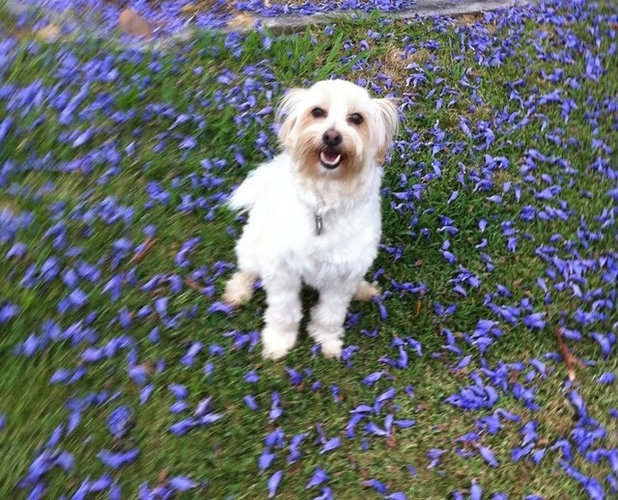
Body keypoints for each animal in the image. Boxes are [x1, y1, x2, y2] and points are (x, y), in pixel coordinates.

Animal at [224, 79, 398, 360]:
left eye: (357, 118)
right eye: (317, 112)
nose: (332, 136)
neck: (324, 203)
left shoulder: (343, 276)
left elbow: (330, 314)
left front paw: (326, 340)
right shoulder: (282, 271)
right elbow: (283, 312)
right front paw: (279, 342)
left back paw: (362, 289)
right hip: (253, 244)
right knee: (247, 269)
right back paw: (238, 291)